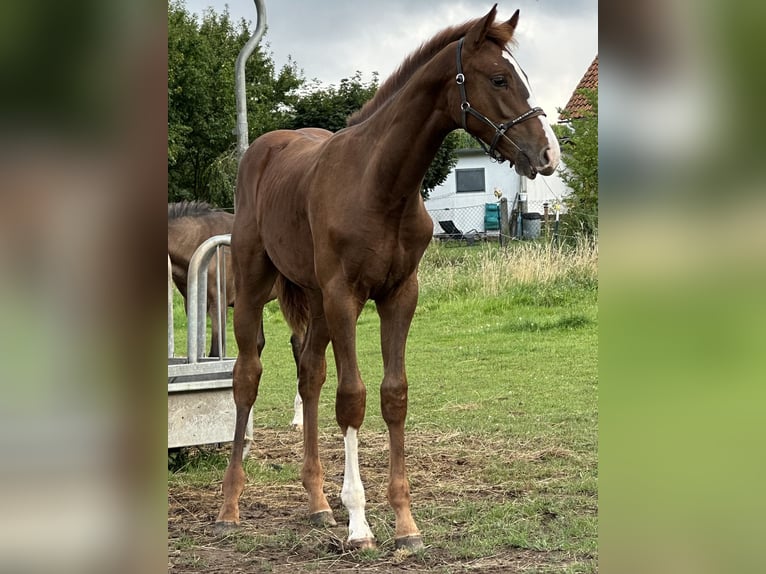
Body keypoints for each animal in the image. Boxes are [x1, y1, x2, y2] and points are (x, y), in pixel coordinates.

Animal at [216, 5, 564, 552]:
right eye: (499, 78)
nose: (548, 154)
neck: (379, 184)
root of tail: (262, 149)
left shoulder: (400, 296)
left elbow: (393, 395)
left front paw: (404, 523)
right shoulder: (345, 297)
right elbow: (352, 399)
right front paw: (360, 523)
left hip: (314, 298)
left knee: (309, 374)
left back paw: (317, 503)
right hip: (256, 286)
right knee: (248, 376)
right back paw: (230, 507)